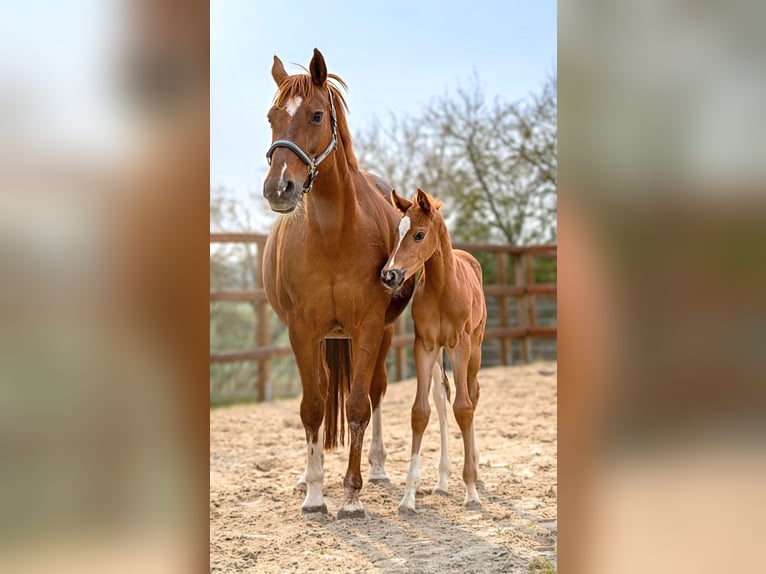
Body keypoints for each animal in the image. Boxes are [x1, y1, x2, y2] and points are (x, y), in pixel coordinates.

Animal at [261, 49, 415, 518]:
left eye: (315, 115)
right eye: (272, 117)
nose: (279, 188)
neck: (333, 233)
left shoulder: (367, 326)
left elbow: (359, 405)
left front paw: (350, 495)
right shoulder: (301, 330)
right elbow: (312, 406)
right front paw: (314, 492)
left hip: (382, 334)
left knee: (377, 391)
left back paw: (378, 469)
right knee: (325, 391)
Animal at [380, 189, 487, 512]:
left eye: (419, 234)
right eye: (397, 233)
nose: (389, 275)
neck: (442, 288)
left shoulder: (459, 344)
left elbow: (464, 408)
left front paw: (470, 491)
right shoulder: (424, 345)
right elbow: (421, 411)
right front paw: (408, 496)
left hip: (475, 346)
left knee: (472, 393)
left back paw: (474, 470)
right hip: (440, 354)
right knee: (442, 397)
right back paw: (441, 480)